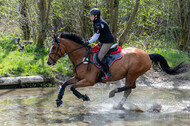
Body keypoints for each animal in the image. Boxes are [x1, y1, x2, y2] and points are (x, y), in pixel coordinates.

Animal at [46, 32, 183, 107]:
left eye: (54, 47)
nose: (49, 62)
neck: (82, 57)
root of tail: (147, 54)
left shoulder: (89, 81)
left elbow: (72, 87)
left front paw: (85, 97)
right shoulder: (77, 77)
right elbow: (65, 84)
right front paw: (58, 100)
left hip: (132, 73)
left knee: (130, 87)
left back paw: (113, 93)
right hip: (130, 75)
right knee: (129, 90)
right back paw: (119, 105)